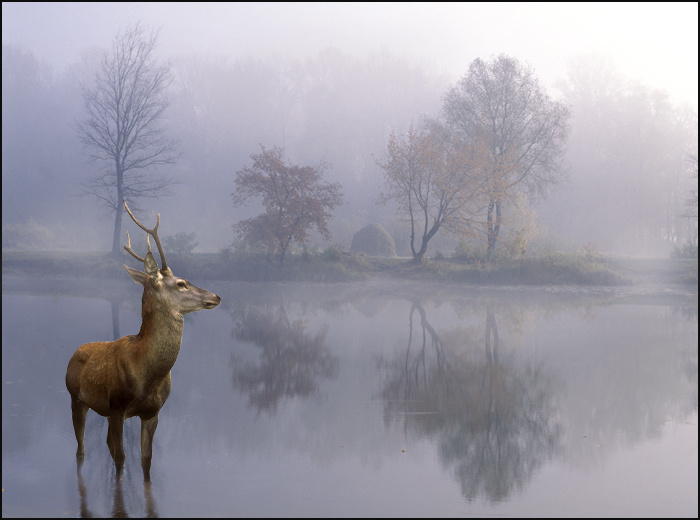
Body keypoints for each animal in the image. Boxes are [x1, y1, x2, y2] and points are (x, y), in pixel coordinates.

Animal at [65, 199, 221, 481]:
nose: (216, 296)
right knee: (81, 449)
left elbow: (145, 460)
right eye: (181, 283)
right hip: (75, 397)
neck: (146, 373)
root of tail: (75, 351)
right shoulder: (117, 406)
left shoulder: (153, 412)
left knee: (104, 444)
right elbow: (120, 458)